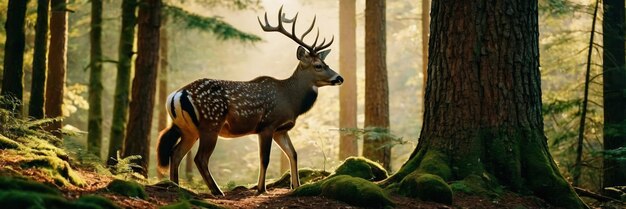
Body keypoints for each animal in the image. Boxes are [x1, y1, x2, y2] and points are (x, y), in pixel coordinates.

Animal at [156, 6, 342, 196]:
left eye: (325, 63)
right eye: (318, 65)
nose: (339, 78)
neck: (290, 101)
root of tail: (176, 95)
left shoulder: (281, 129)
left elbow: (293, 153)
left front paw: (296, 186)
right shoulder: (268, 125)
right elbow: (265, 158)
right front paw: (261, 189)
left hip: (188, 129)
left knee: (175, 153)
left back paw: (175, 186)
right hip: (211, 123)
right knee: (200, 158)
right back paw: (217, 191)